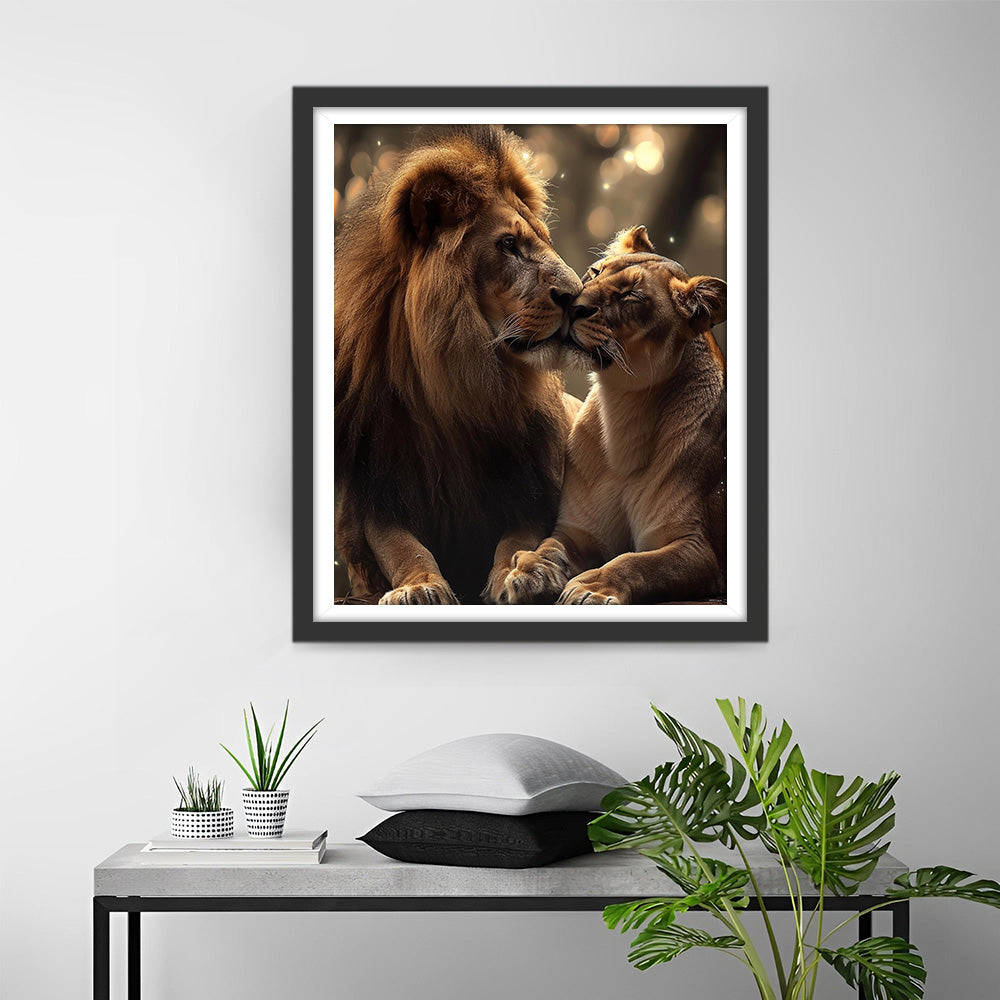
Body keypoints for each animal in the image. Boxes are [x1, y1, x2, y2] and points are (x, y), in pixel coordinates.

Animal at [334, 125, 583, 605]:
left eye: (543, 239)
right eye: (508, 245)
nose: (577, 294)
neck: (454, 387)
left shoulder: (530, 488)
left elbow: (517, 538)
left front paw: (527, 573)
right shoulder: (376, 492)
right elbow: (401, 547)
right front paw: (418, 586)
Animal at [499, 225, 727, 605]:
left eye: (632, 295)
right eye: (595, 272)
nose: (573, 306)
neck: (622, 409)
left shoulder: (698, 549)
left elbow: (636, 562)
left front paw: (591, 586)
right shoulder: (578, 531)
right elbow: (550, 545)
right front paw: (530, 570)